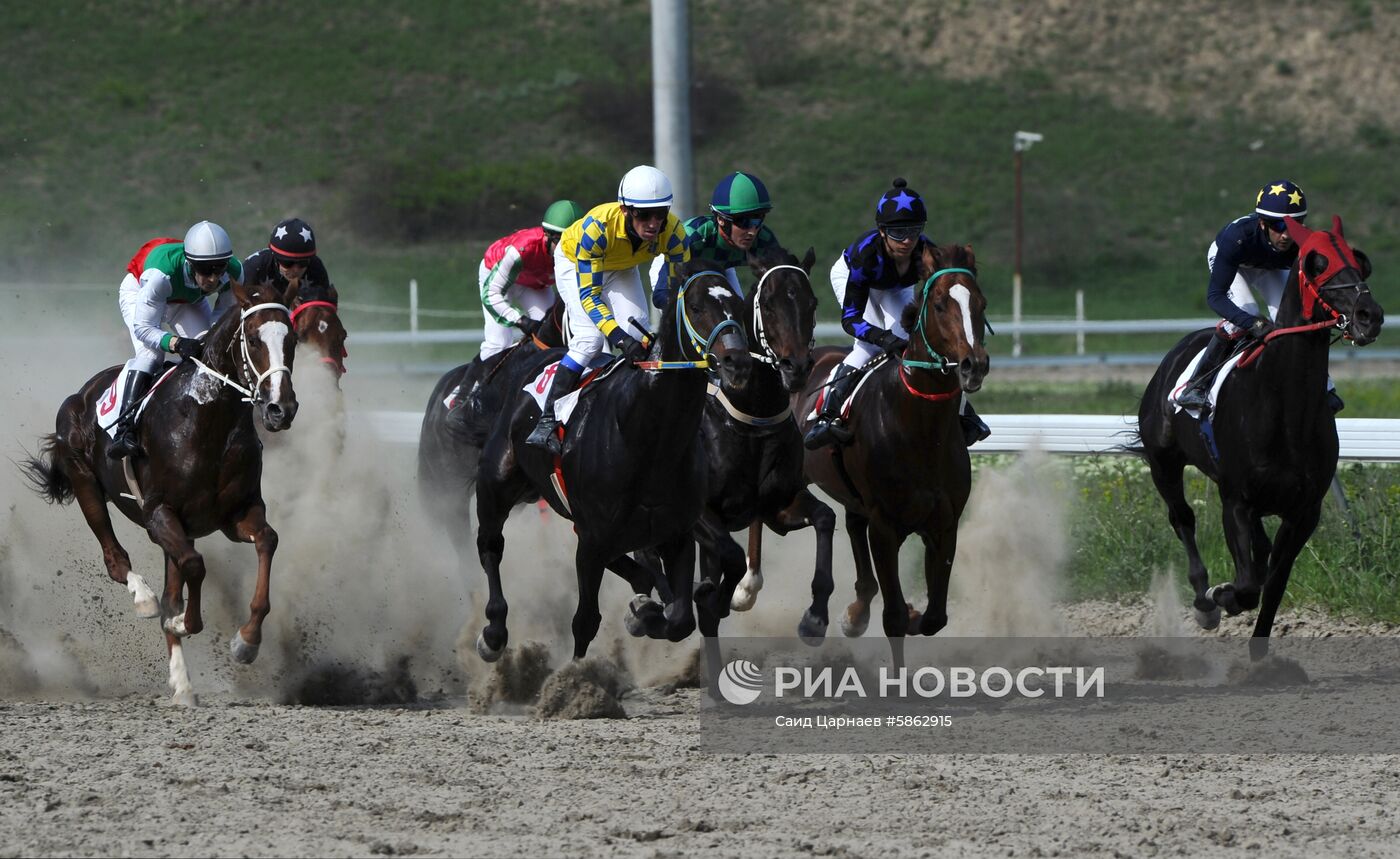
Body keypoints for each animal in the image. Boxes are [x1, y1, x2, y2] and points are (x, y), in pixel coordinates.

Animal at [20, 281, 299, 707]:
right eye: (253, 339)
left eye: (293, 340)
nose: (280, 409)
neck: (207, 419)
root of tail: (82, 393)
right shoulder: (159, 515)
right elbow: (194, 570)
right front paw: (182, 621)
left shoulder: (236, 513)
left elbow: (267, 540)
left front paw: (246, 642)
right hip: (86, 484)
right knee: (117, 560)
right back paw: (144, 599)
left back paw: (183, 685)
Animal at [470, 258, 756, 663]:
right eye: (698, 307)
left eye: (739, 306)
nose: (737, 363)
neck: (648, 438)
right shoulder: (593, 539)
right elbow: (586, 620)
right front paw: (576, 675)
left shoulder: (676, 531)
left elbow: (680, 620)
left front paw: (649, 614)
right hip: (497, 484)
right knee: (491, 546)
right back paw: (493, 634)